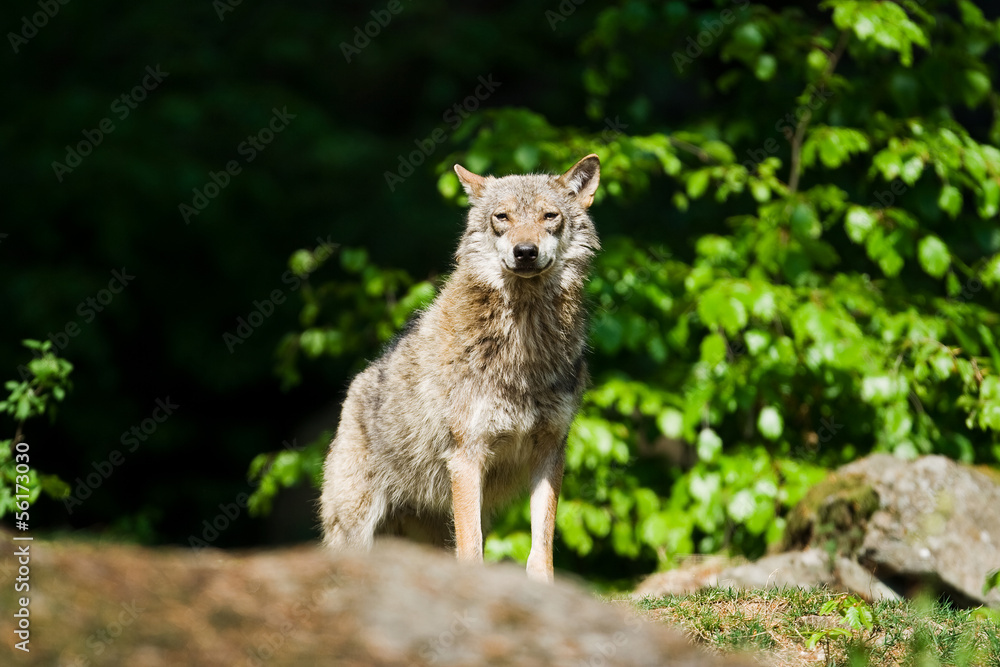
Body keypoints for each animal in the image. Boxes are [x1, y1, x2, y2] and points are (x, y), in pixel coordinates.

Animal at [319, 154, 601, 581]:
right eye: (502, 217)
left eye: (549, 216)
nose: (525, 251)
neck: (524, 345)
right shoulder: (467, 455)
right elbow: (473, 550)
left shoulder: (550, 450)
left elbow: (542, 547)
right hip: (356, 529)